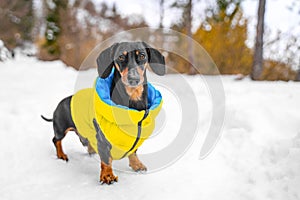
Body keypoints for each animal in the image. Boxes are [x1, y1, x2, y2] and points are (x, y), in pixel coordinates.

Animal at [41, 41, 165, 184]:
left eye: (142, 55)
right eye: (120, 57)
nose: (133, 79)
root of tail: (58, 106)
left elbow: (133, 151)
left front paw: (137, 165)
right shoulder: (103, 139)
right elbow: (106, 159)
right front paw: (107, 176)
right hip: (61, 129)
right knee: (56, 140)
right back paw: (61, 155)